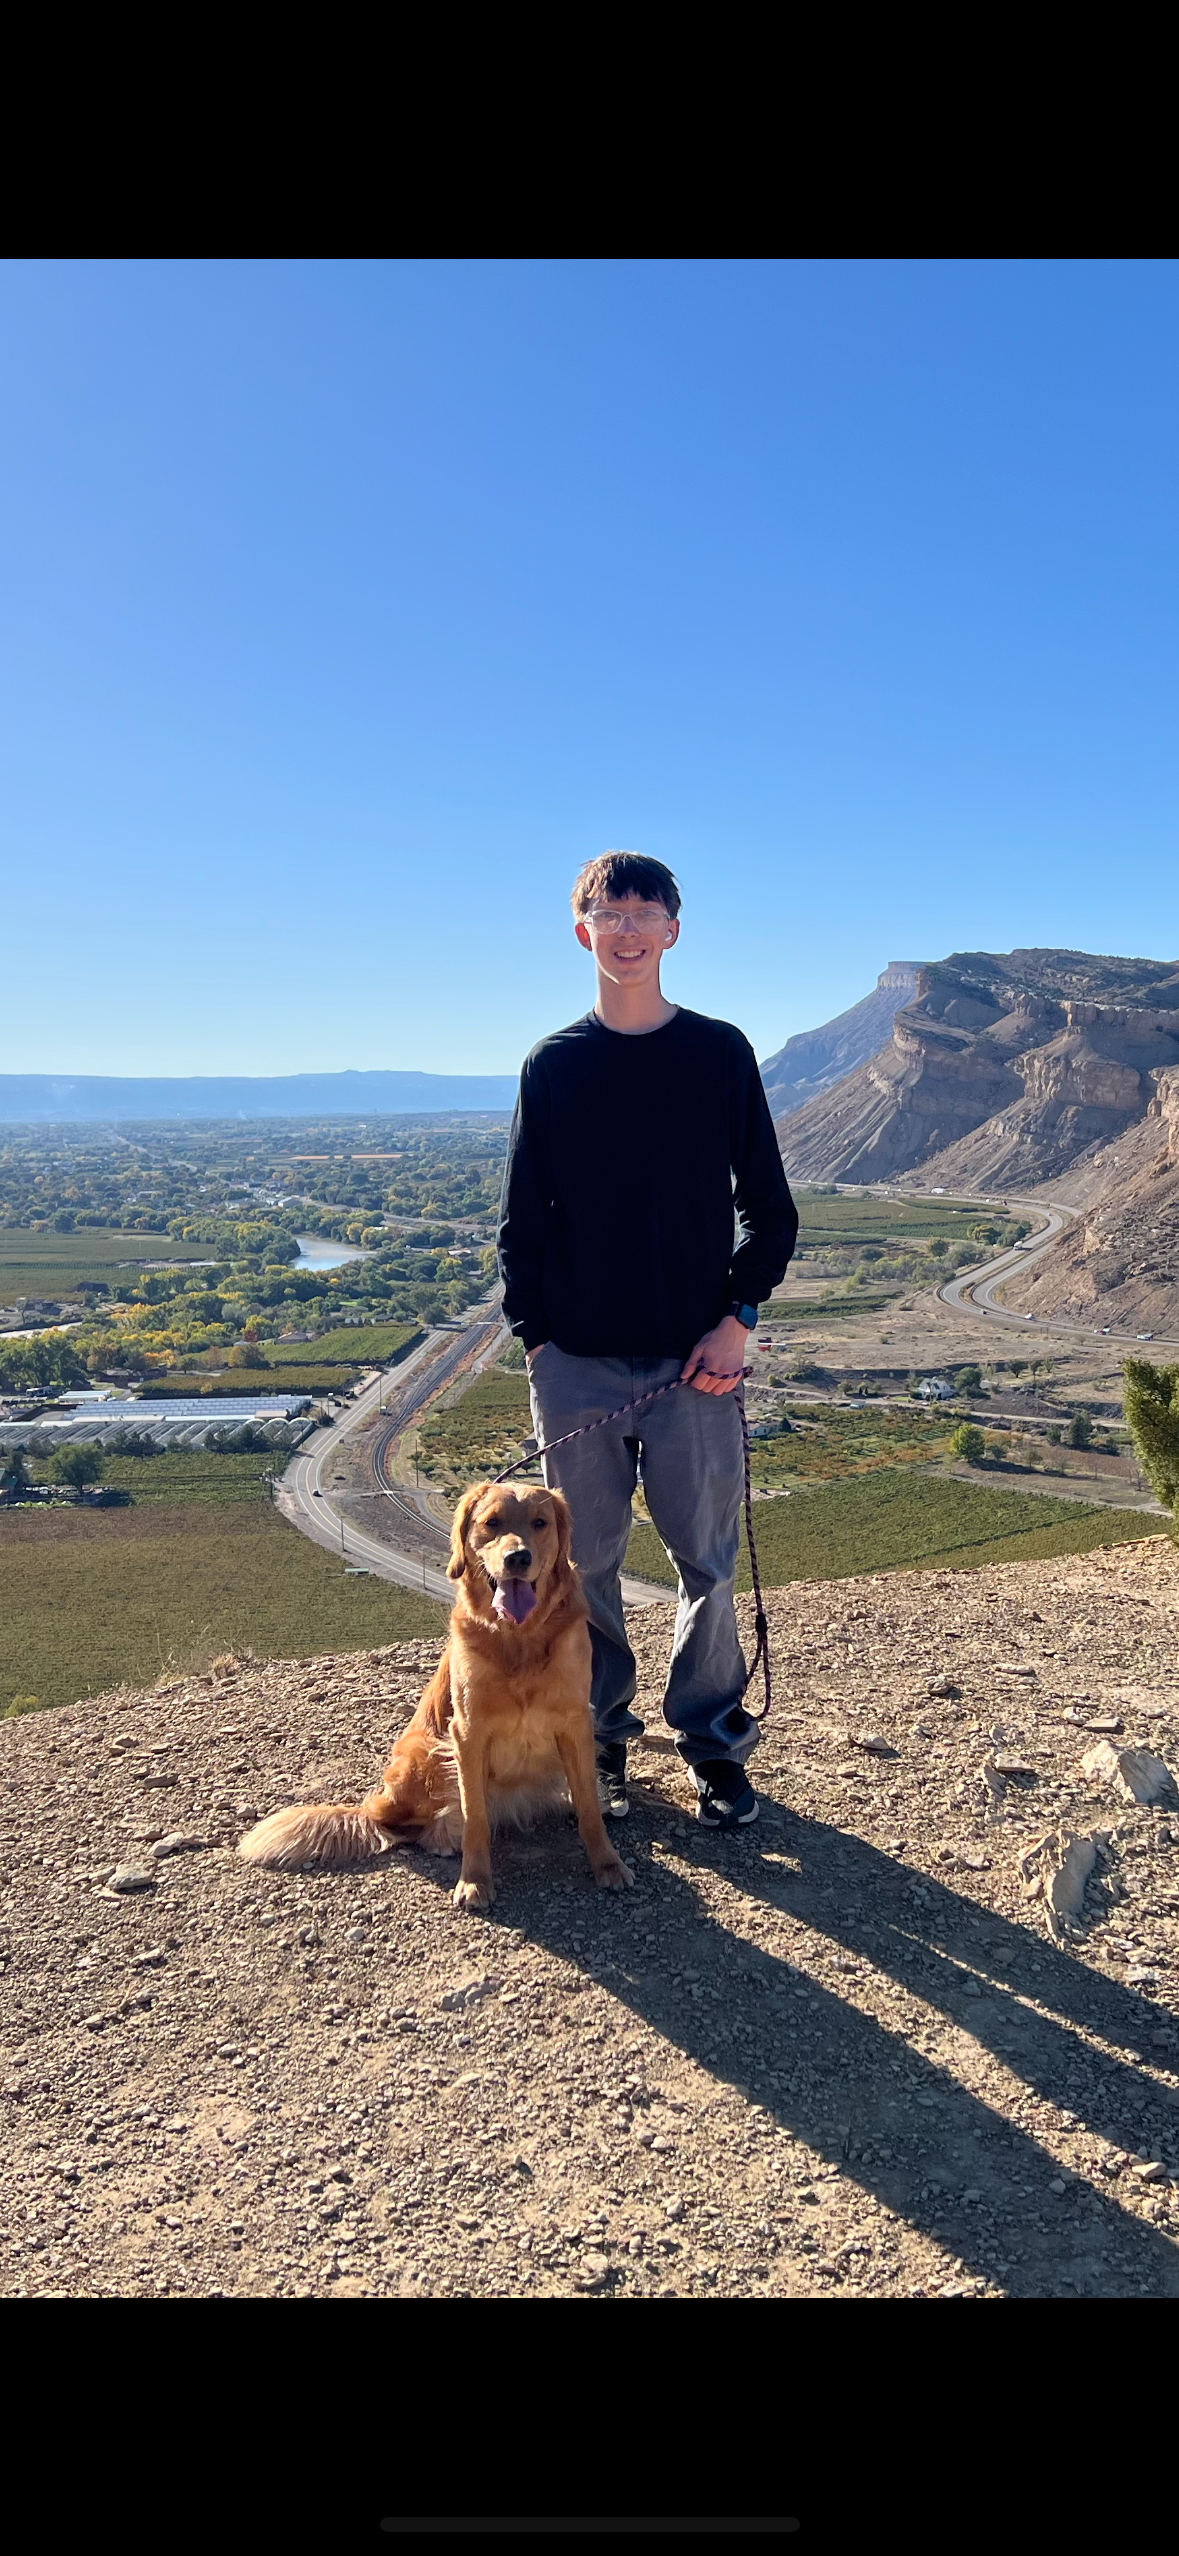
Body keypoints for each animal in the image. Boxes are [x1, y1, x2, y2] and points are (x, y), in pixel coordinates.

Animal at [238, 1481, 633, 1911]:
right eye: (491, 1523)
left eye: (540, 1523)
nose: (517, 1558)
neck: (520, 1637)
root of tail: (373, 1808)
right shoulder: (467, 1731)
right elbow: (475, 1816)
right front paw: (475, 1880)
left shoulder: (576, 1722)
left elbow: (590, 1808)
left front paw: (608, 1864)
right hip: (423, 1752)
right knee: (412, 1826)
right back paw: (444, 1837)